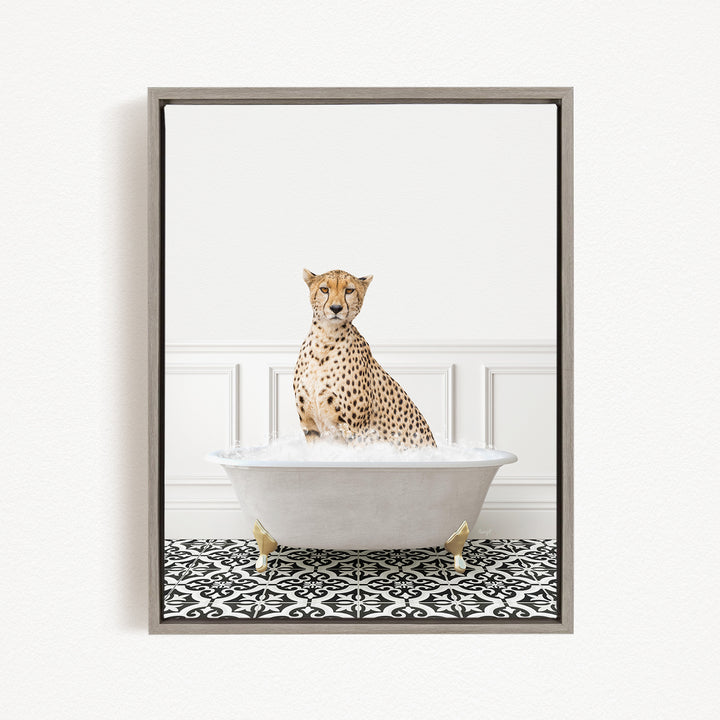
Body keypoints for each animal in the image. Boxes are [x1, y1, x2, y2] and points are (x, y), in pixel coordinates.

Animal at [293, 268, 436, 449]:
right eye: (324, 289)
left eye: (349, 290)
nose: (336, 308)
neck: (325, 339)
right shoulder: (310, 427)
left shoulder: (356, 431)